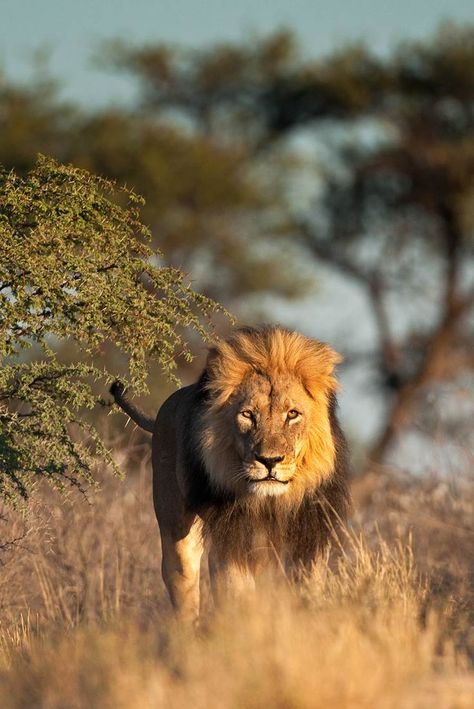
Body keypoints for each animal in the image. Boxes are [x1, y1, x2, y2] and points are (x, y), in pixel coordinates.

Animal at [110, 326, 348, 620]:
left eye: (292, 414)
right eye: (247, 415)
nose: (269, 461)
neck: (271, 503)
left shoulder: (308, 541)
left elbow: (305, 592)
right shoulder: (232, 542)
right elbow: (238, 596)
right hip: (177, 530)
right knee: (184, 583)